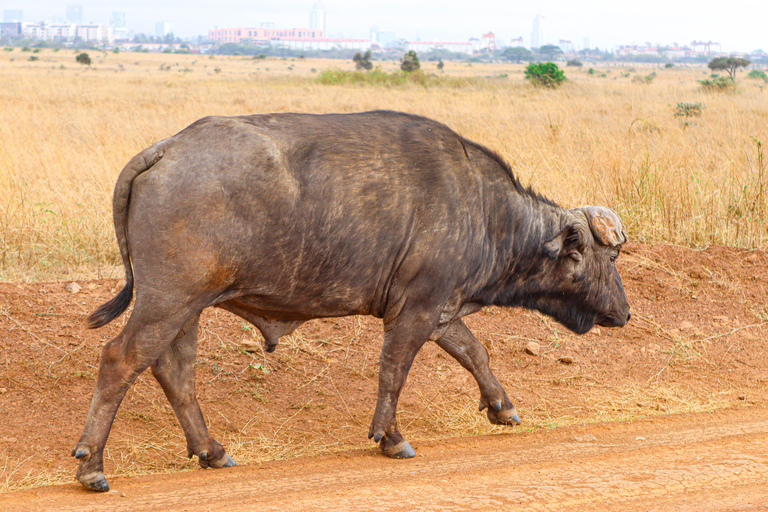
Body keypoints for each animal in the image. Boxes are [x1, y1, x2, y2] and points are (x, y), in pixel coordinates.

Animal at [72, 111, 632, 492]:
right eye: (611, 258)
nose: (625, 313)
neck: (485, 210)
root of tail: (166, 149)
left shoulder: (439, 310)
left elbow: (475, 353)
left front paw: (502, 406)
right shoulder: (416, 311)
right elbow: (394, 372)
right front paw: (392, 437)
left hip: (187, 310)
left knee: (174, 372)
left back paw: (211, 450)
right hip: (167, 301)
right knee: (120, 360)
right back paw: (92, 465)